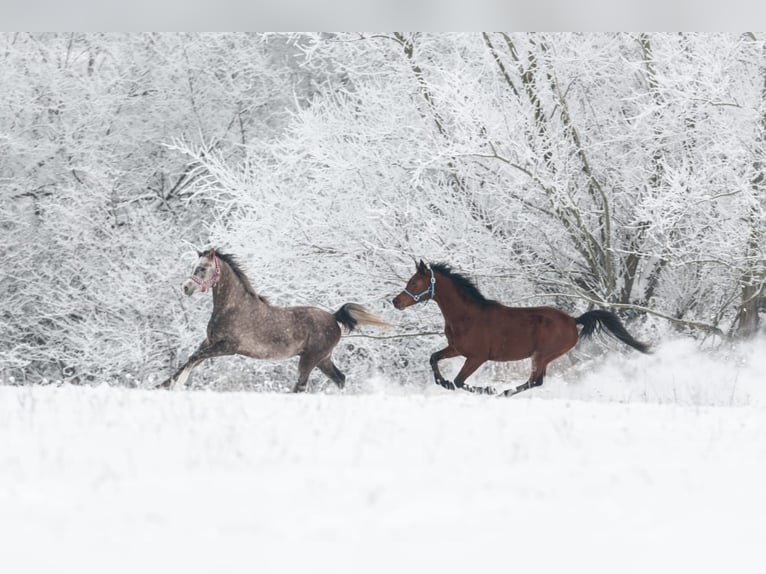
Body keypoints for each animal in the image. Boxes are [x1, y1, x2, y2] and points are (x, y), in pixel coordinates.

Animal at [159, 248, 391, 392]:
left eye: (202, 268)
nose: (186, 287)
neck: (233, 308)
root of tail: (334, 318)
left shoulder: (228, 347)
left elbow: (193, 359)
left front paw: (177, 386)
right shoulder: (209, 341)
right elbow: (190, 360)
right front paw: (161, 386)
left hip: (310, 359)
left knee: (301, 386)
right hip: (323, 359)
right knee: (340, 379)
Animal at [392, 260, 650, 397]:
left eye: (414, 282)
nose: (396, 302)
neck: (466, 316)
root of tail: (573, 320)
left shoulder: (477, 357)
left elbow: (458, 381)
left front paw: (486, 388)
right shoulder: (456, 349)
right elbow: (433, 358)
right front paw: (441, 382)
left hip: (542, 355)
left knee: (534, 381)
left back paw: (502, 393)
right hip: (542, 357)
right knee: (535, 381)